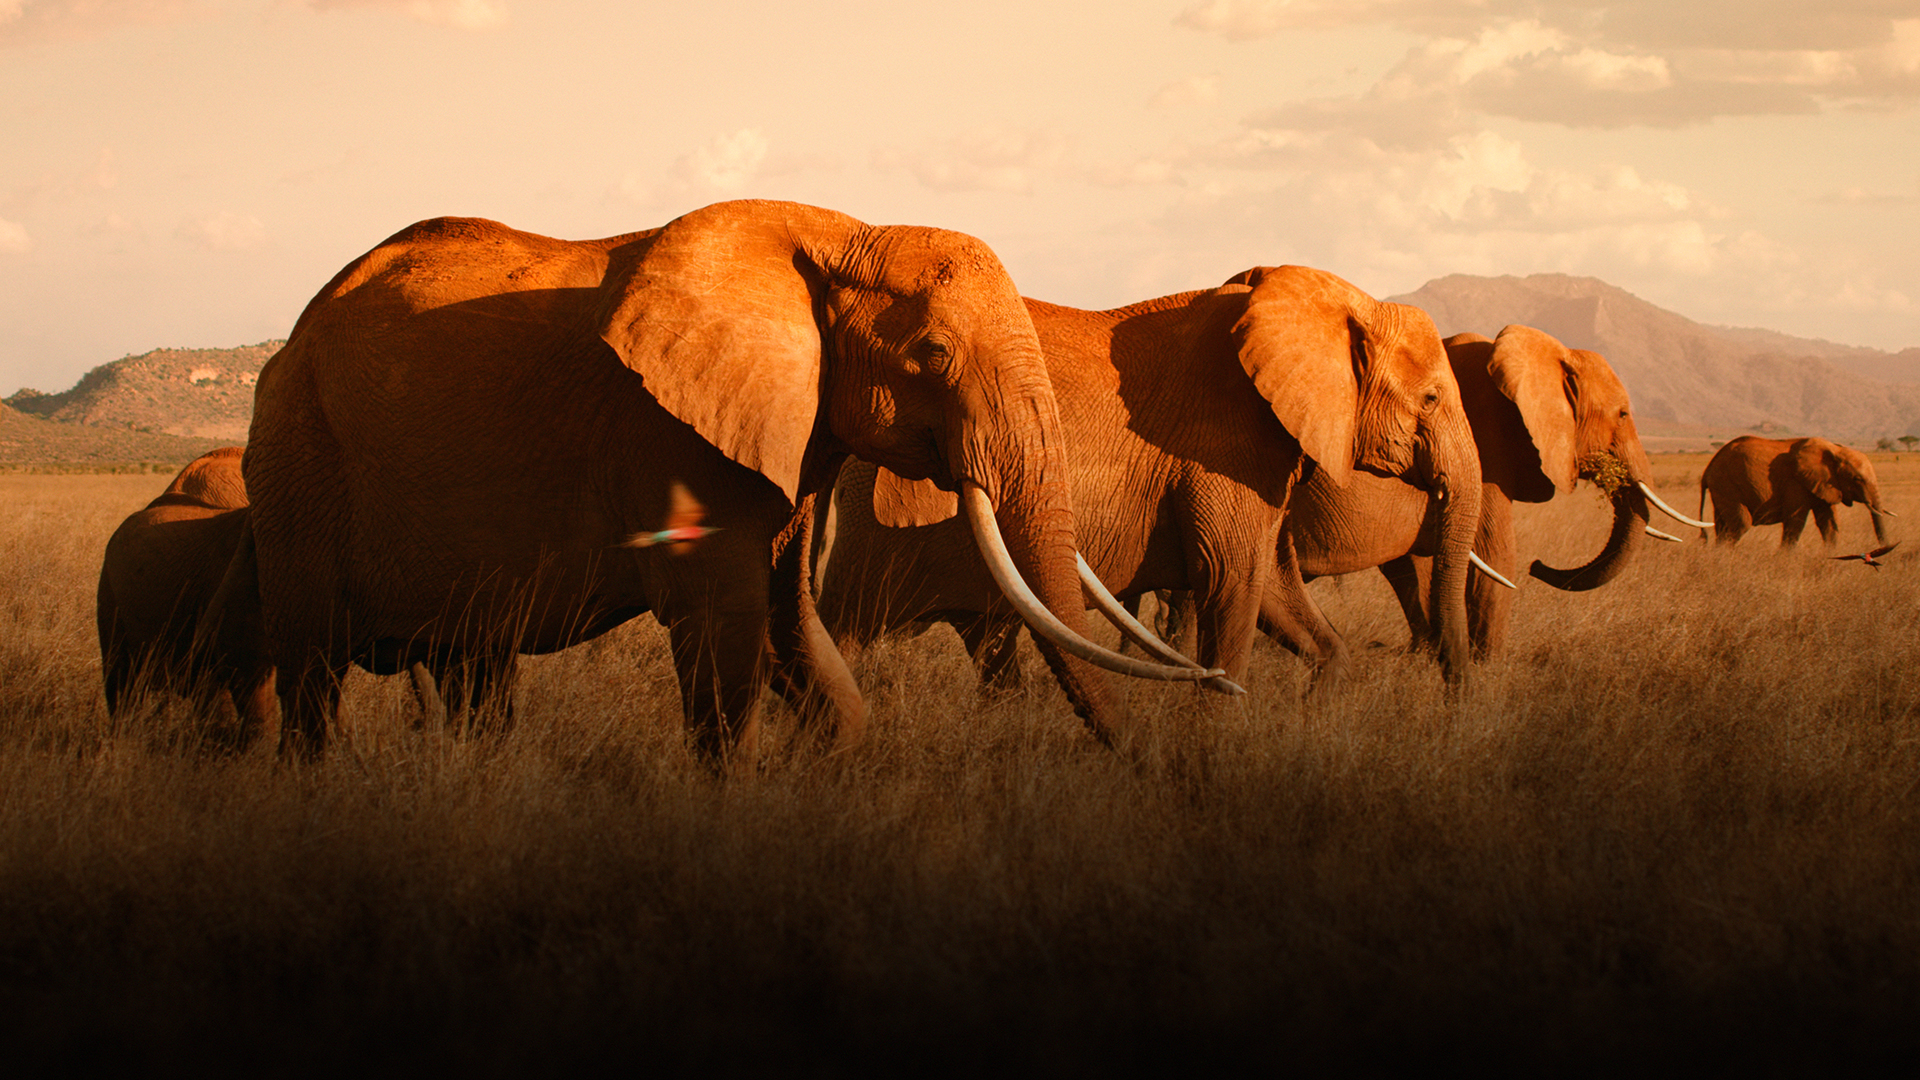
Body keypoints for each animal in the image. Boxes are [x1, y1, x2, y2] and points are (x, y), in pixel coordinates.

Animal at [225, 200, 1220, 759]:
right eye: (934, 354)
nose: (1153, 770)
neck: (840, 236)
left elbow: (790, 625)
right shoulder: (670, 437)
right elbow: (727, 624)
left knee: (474, 667)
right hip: (296, 465)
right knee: (312, 673)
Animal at [813, 264, 1484, 695]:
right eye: (1429, 399)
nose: (1456, 694)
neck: (1331, 301)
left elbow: (1276, 594)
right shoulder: (1224, 448)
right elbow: (1234, 584)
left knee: (992, 648)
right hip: (873, 533)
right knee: (844, 627)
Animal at [1699, 435, 1893, 549]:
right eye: (1857, 479)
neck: (1835, 449)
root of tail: (1708, 469)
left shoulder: (1823, 484)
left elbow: (1828, 522)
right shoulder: (1795, 482)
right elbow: (1795, 520)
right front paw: (1785, 559)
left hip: (1721, 488)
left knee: (1722, 526)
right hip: (1726, 484)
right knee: (1741, 524)